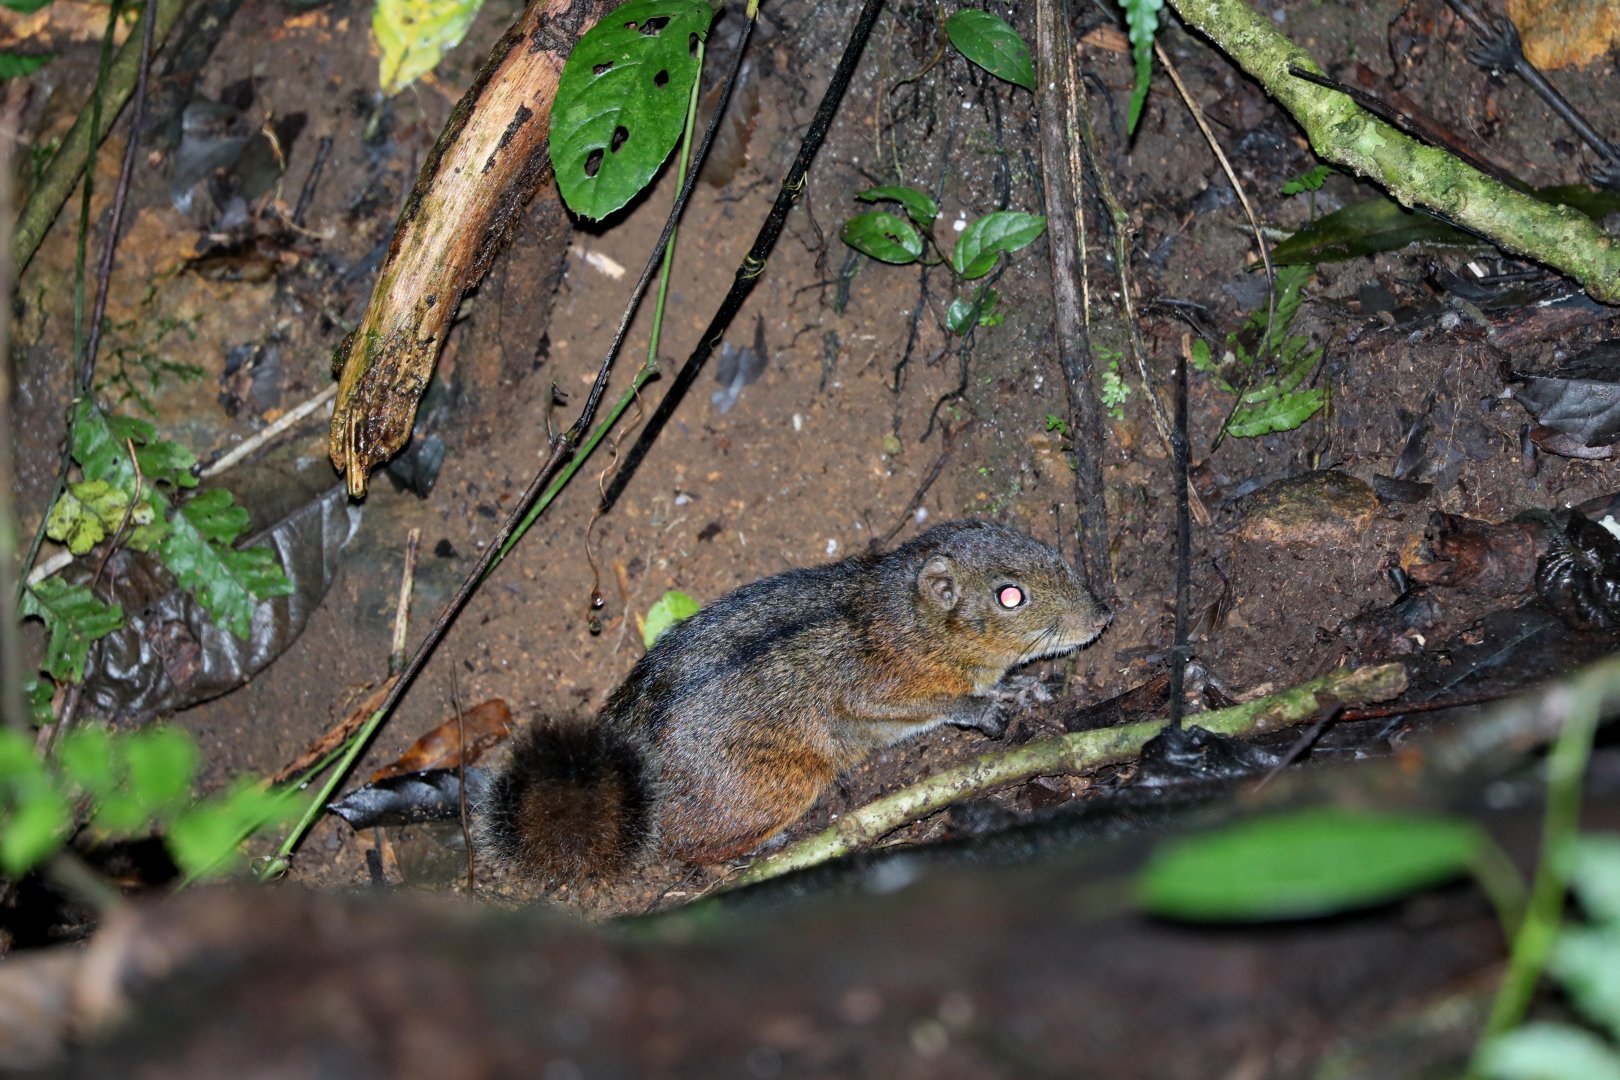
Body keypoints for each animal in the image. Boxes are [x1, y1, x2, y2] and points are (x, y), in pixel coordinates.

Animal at [476, 519, 1111, 884]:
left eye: (1047, 550)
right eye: (1010, 596)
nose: (1103, 615)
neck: (905, 620)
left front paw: (1022, 687)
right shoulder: (871, 696)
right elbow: (937, 705)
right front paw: (984, 708)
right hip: (780, 784)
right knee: (685, 848)